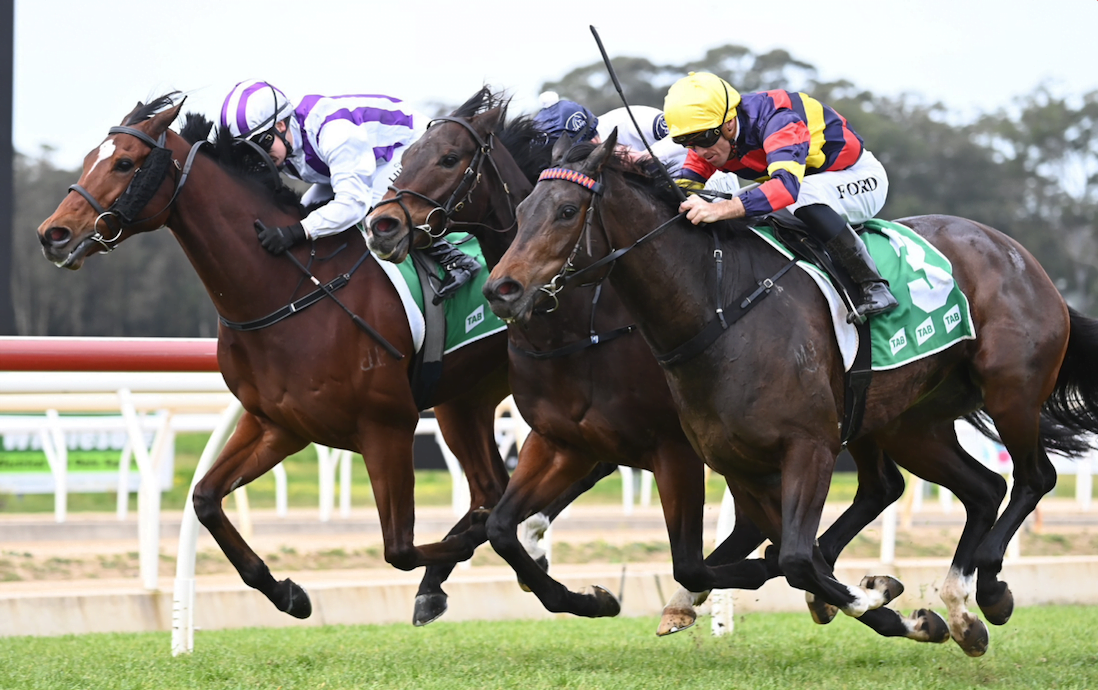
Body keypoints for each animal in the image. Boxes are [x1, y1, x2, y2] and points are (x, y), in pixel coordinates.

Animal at [36, 95, 511, 619]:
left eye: (124, 162)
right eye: (88, 159)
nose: (53, 233)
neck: (287, 292)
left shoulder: (387, 425)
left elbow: (400, 548)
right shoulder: (277, 423)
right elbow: (204, 498)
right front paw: (287, 593)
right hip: (464, 401)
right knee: (490, 486)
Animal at [483, 130, 1098, 659]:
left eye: (567, 210)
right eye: (522, 210)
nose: (500, 289)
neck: (718, 308)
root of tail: (1017, 253)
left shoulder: (799, 448)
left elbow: (793, 557)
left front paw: (873, 594)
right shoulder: (727, 460)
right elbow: (742, 559)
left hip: (1011, 390)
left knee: (1033, 476)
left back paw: (988, 591)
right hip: (909, 423)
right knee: (976, 486)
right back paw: (963, 608)